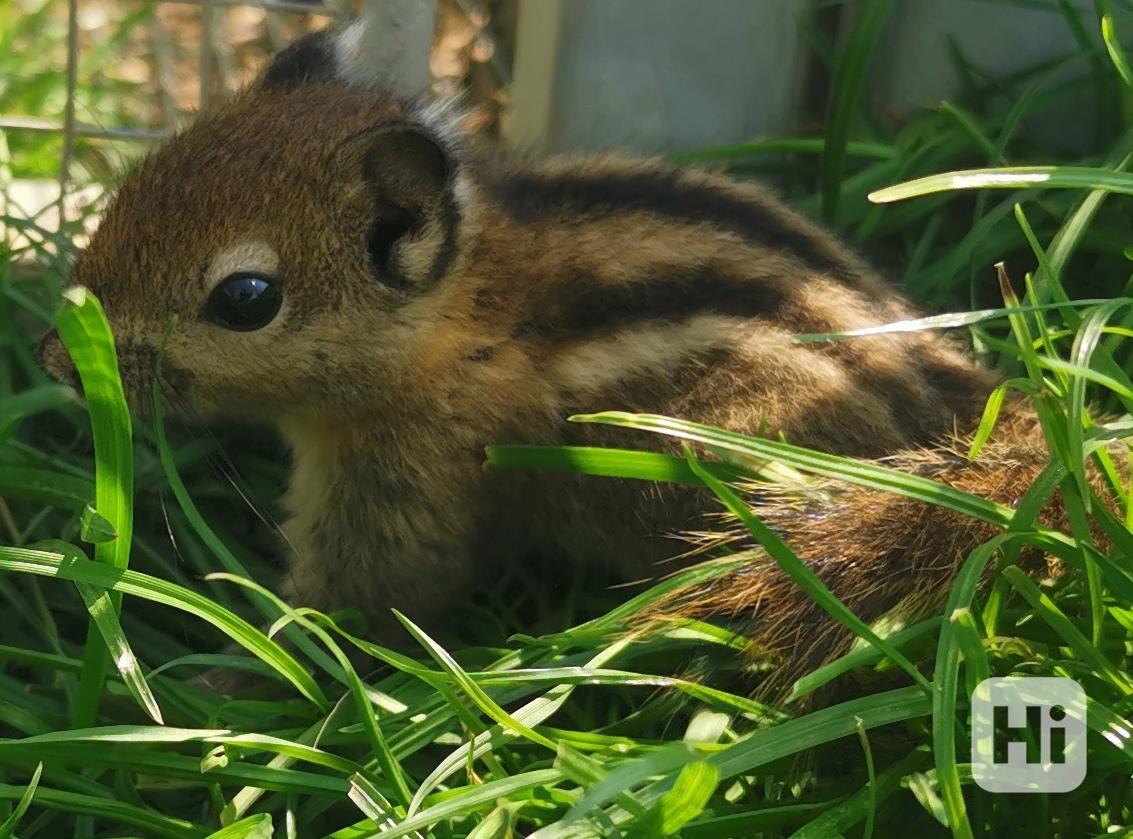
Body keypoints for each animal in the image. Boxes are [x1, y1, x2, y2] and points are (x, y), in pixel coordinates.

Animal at [39, 27, 1069, 692]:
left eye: (246, 299)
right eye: (131, 190)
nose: (53, 357)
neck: (459, 313)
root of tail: (953, 404)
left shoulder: (400, 482)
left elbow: (359, 608)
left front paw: (224, 678)